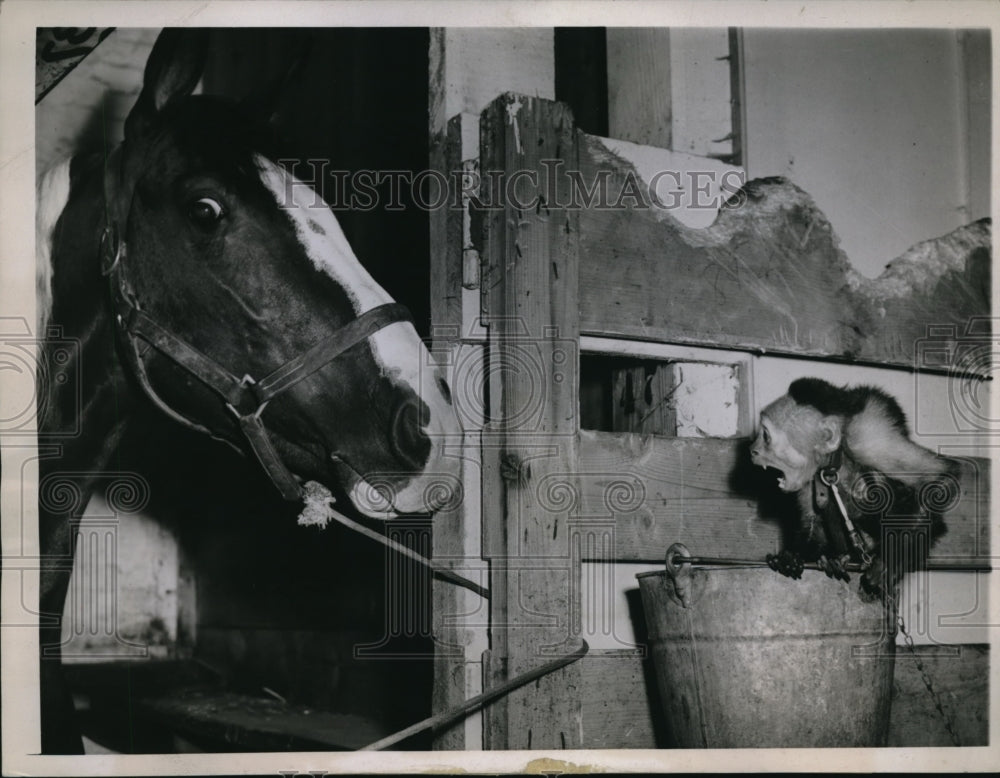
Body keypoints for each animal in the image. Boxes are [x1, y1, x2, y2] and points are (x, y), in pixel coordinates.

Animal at [752, 378, 956, 596]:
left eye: (766, 437)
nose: (752, 450)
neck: (835, 458)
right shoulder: (811, 473)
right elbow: (812, 519)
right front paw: (791, 556)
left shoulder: (867, 438)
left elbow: (938, 479)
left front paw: (888, 566)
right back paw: (836, 559)